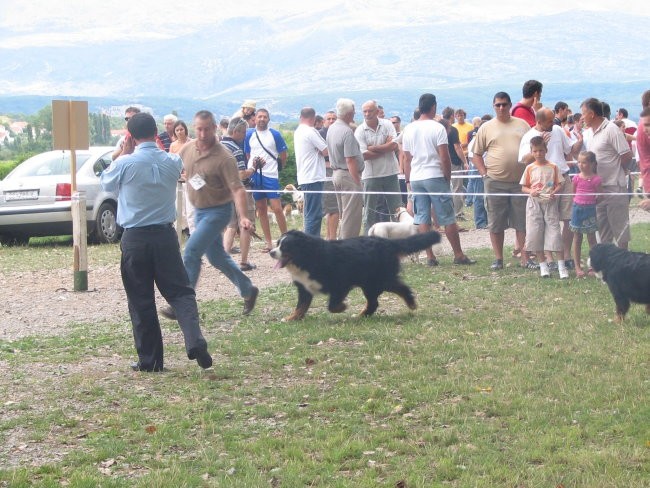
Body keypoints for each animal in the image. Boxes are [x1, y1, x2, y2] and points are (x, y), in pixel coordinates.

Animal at [268, 232, 440, 322]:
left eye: (285, 246)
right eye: (277, 244)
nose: (271, 252)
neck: (306, 258)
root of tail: (388, 242)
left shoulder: (340, 284)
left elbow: (332, 305)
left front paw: (342, 307)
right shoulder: (304, 288)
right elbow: (301, 306)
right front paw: (292, 317)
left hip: (378, 280)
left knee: (398, 290)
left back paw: (411, 304)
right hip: (373, 283)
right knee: (376, 301)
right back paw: (363, 315)